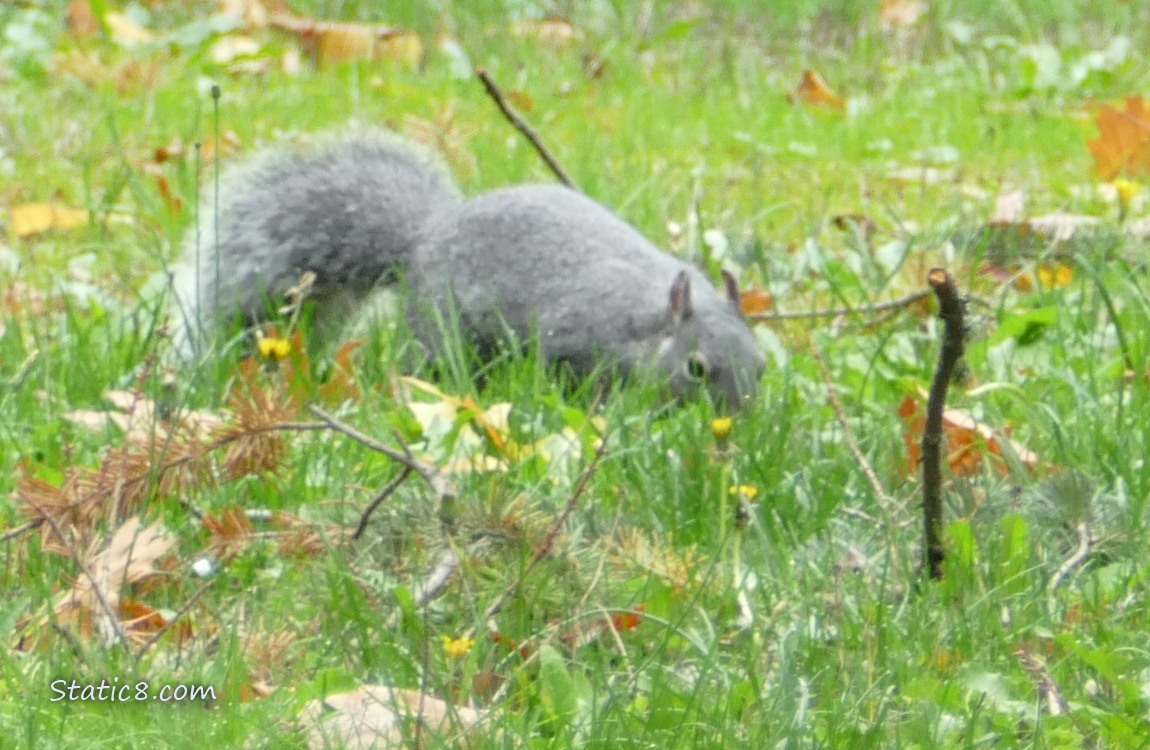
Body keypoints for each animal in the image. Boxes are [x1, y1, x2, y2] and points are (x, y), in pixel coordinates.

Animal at [170, 129, 765, 409]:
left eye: (761, 364)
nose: (740, 416)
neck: (645, 318)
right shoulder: (575, 334)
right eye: (696, 369)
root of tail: (425, 237)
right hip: (443, 329)